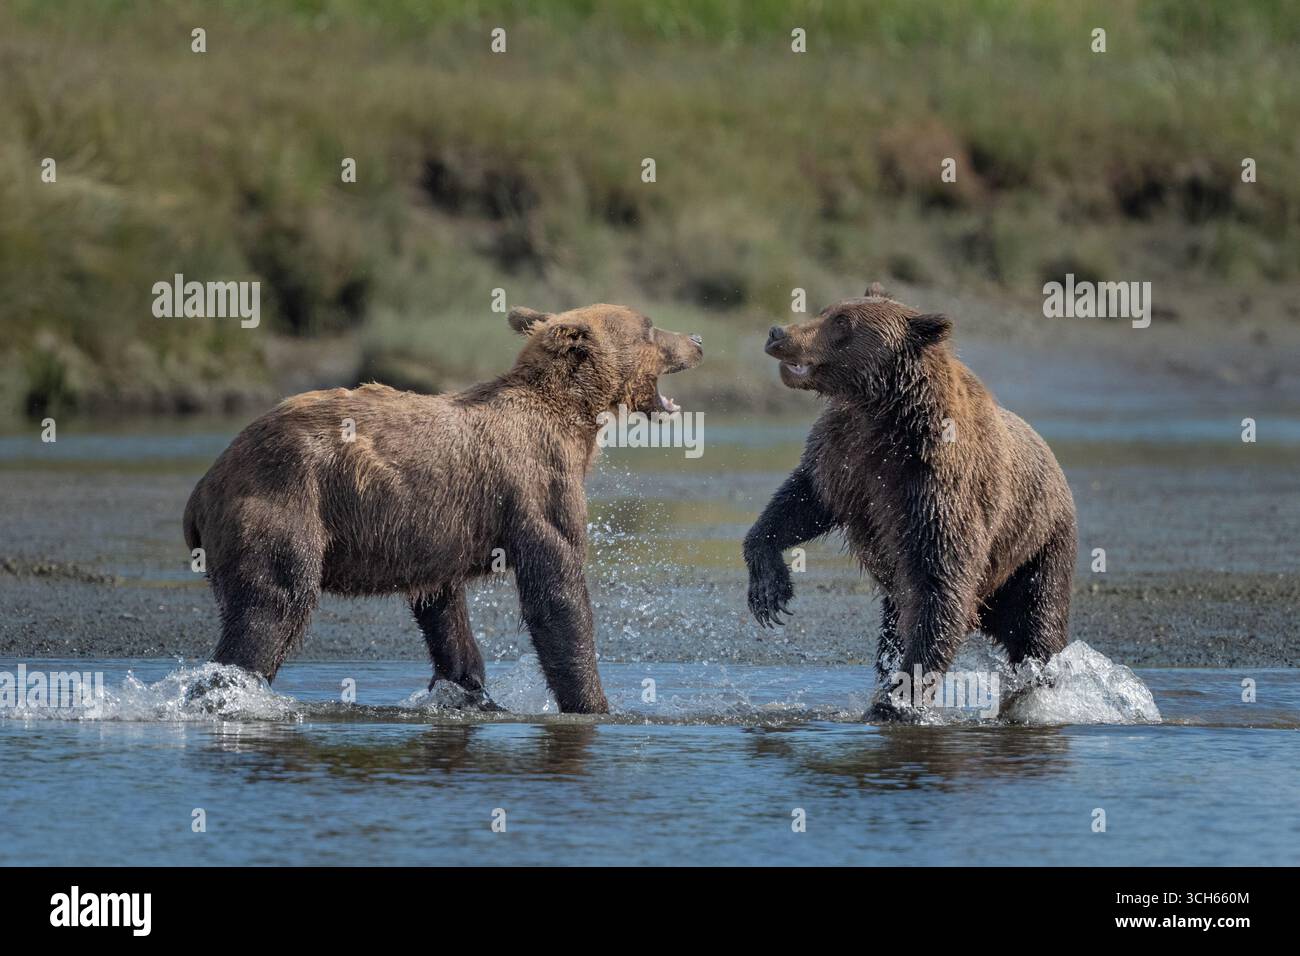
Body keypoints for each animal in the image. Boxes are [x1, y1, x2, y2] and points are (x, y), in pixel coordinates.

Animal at [183, 304, 703, 714]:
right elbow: (557, 591)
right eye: (650, 326)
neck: (573, 419)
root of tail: (205, 484)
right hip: (283, 501)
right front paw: (593, 702)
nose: (696, 340)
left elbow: (444, 610)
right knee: (272, 604)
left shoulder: (437, 531)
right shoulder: (536, 483)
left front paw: (468, 689)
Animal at [743, 284, 1077, 716]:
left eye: (842, 323)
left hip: (1039, 545)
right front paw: (769, 589)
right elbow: (802, 501)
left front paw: (894, 701)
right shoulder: (844, 459)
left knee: (1038, 624)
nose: (778, 332)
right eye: (827, 310)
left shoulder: (935, 486)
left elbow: (941, 590)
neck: (882, 412)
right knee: (894, 625)